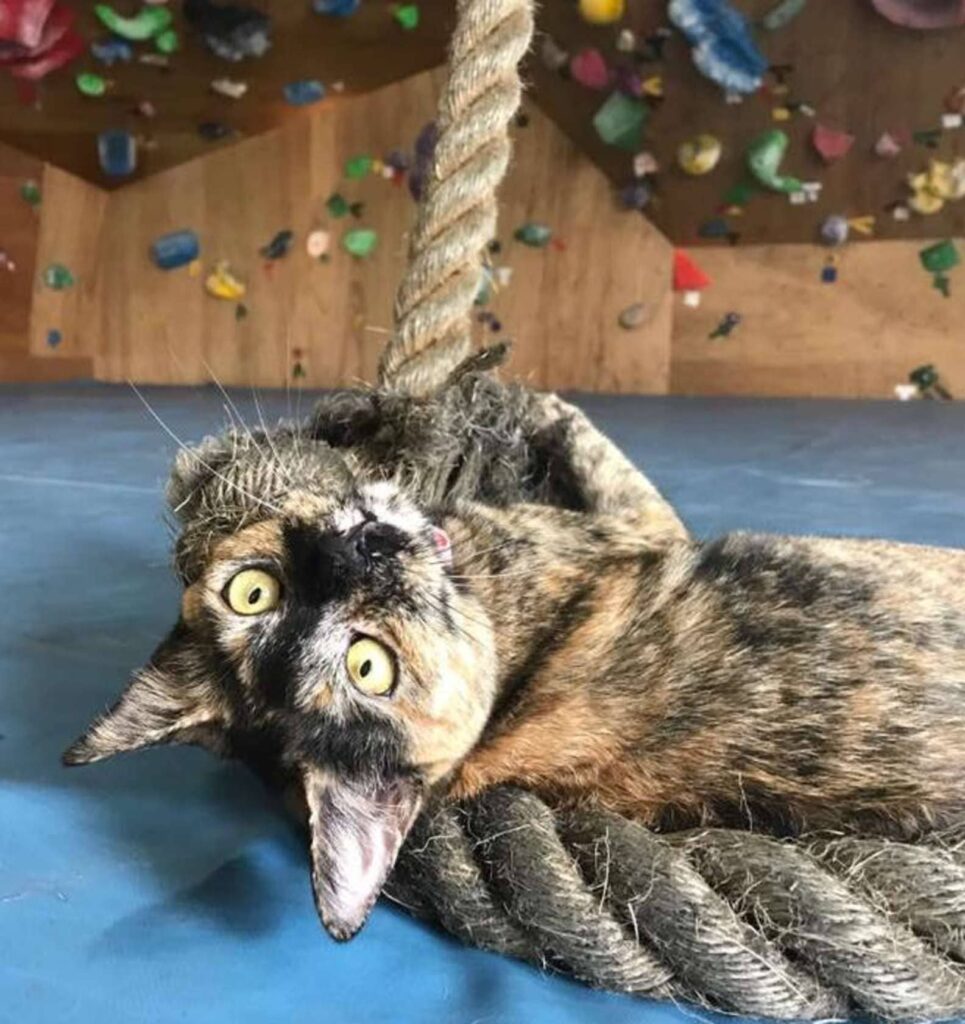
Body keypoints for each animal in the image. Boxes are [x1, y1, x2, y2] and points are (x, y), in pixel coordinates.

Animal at [64, 382, 965, 937]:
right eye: (368, 667)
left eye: (252, 591)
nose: (354, 551)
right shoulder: (637, 522)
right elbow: (594, 444)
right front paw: (531, 403)